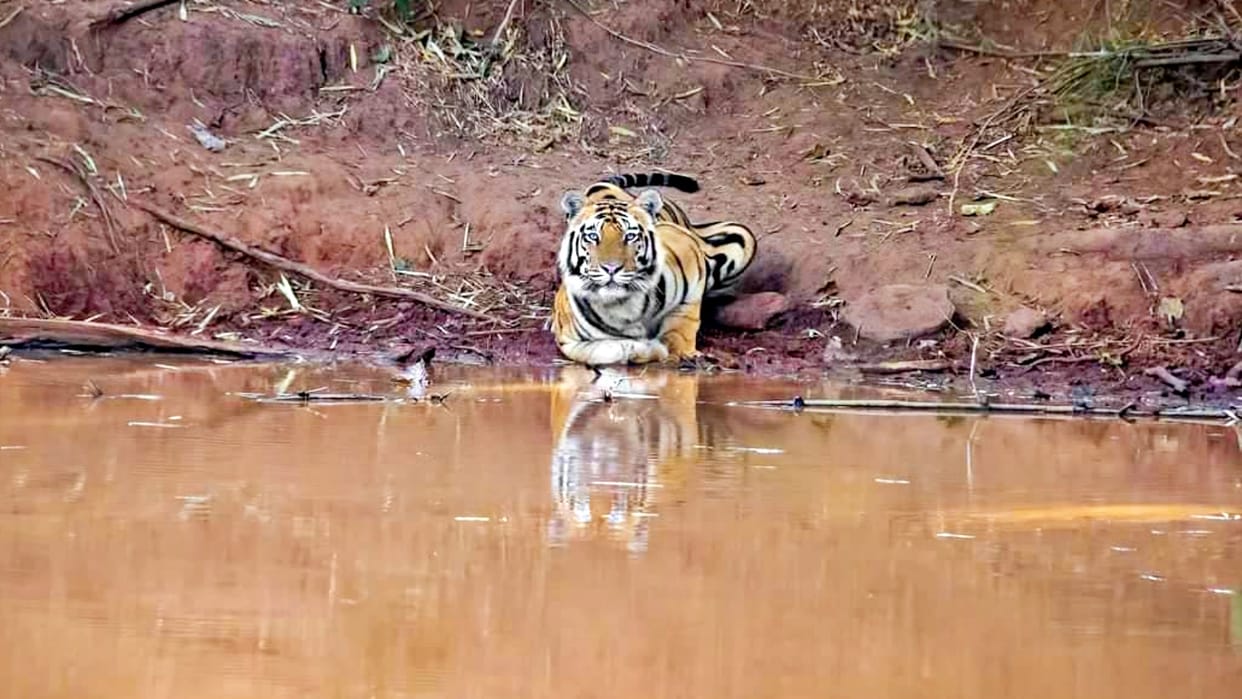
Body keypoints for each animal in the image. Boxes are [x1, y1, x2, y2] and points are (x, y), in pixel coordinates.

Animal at [551, 172, 758, 367]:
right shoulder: (568, 341)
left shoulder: (691, 265)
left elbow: (681, 327)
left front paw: (681, 353)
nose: (611, 268)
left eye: (630, 236)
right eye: (592, 236)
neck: (623, 306)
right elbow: (608, 350)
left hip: (740, 236)